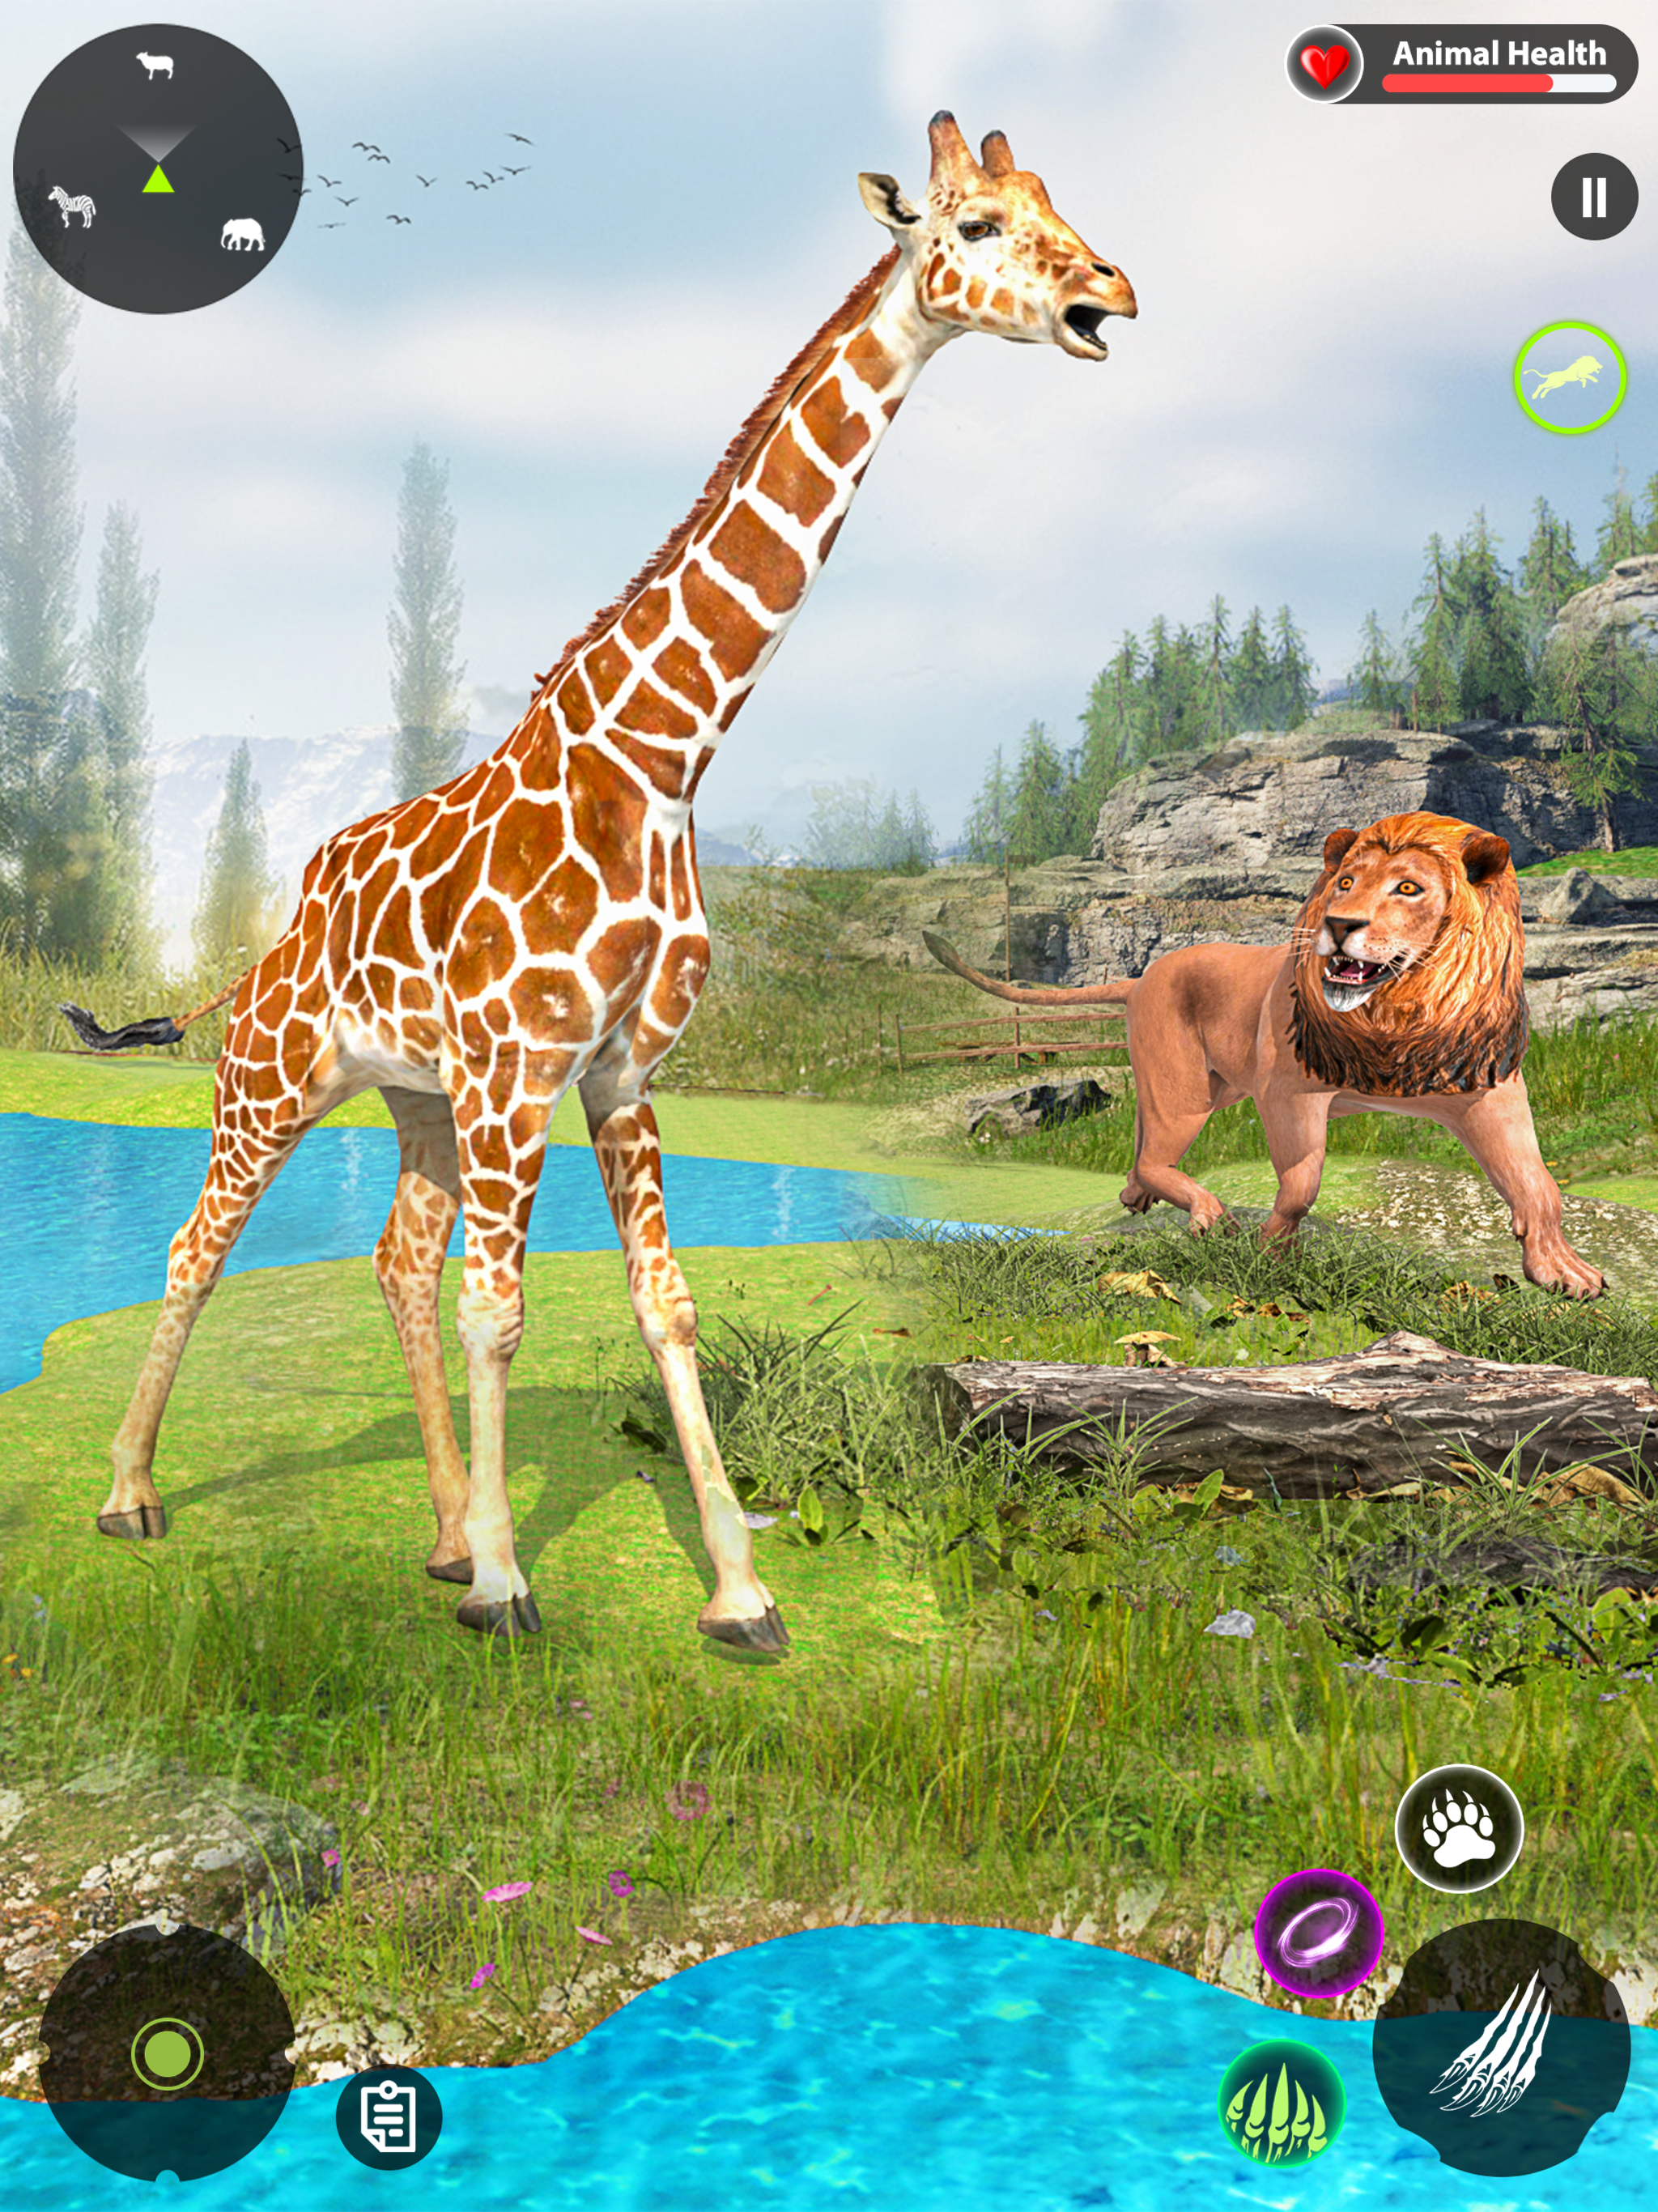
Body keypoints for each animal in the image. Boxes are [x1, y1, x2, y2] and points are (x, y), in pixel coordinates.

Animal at [924, 812, 1604, 1298]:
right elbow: (1301, 1183)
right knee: (1155, 1154)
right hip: (1186, 1091)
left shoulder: (1487, 1092)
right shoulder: (1289, 1090)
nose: (1339, 924)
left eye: (1408, 888)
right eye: (1345, 883)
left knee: (1142, 1145)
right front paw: (1270, 1248)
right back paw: (1207, 1214)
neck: (1399, 1011)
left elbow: (1538, 1183)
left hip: (1204, 1085)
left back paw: (1135, 1198)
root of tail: (1141, 977)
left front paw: (1563, 1271)